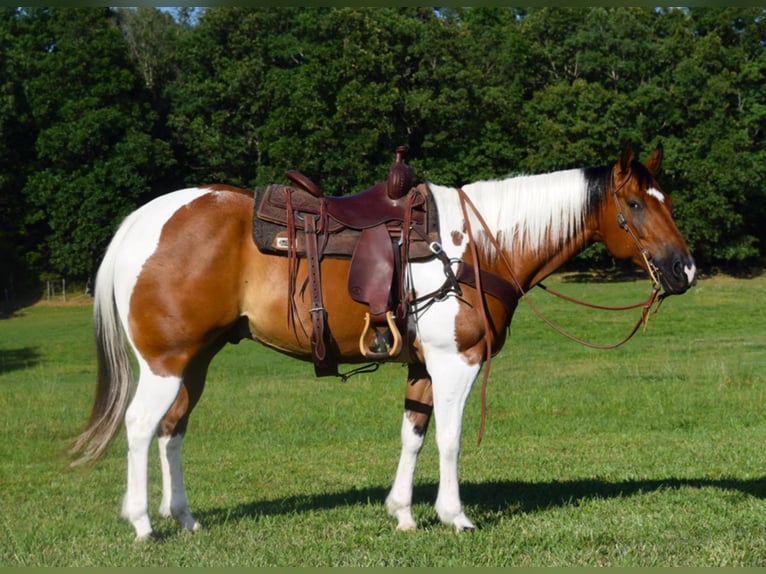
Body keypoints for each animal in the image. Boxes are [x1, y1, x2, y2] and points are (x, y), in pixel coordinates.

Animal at [70, 143, 696, 540]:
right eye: (635, 205)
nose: (685, 269)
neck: (477, 246)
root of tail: (141, 222)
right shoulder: (455, 363)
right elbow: (448, 440)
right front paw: (453, 516)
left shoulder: (422, 366)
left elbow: (412, 436)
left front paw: (402, 513)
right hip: (165, 362)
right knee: (140, 427)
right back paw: (142, 524)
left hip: (194, 362)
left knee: (172, 431)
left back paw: (185, 520)